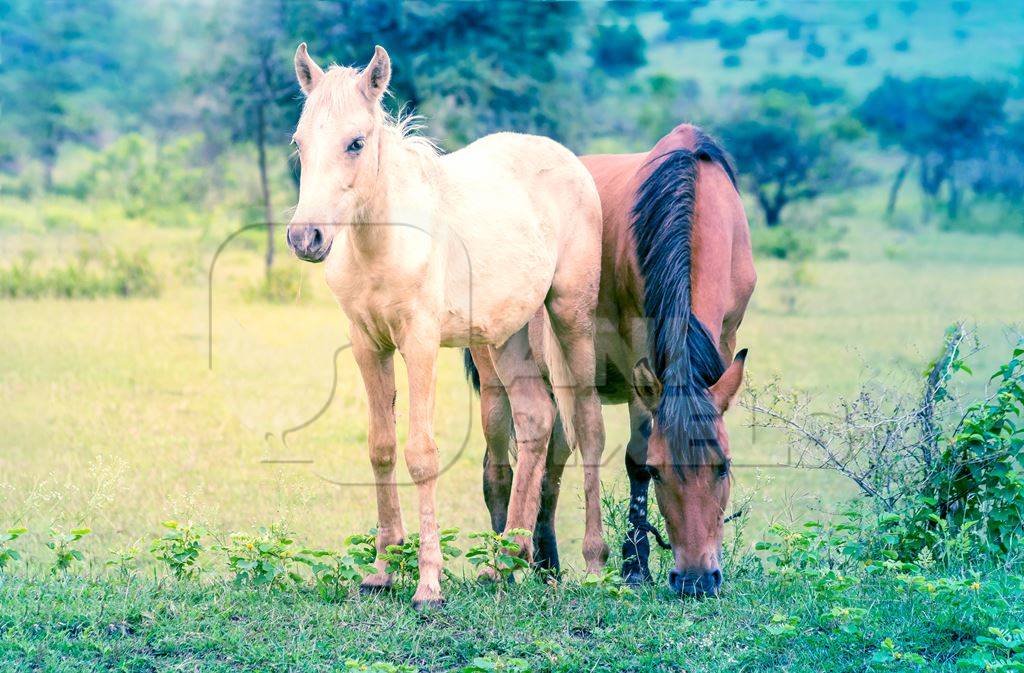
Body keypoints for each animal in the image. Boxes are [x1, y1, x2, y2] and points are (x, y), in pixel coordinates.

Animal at [286, 44, 606, 606]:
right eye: (300, 142)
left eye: (356, 142)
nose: (307, 237)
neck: (383, 244)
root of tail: (570, 162)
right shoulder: (367, 344)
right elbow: (382, 448)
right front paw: (381, 570)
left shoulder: (420, 342)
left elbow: (422, 454)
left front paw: (428, 584)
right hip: (507, 337)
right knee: (536, 420)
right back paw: (505, 560)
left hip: (570, 317)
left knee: (586, 426)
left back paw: (593, 563)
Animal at [468, 123, 757, 594]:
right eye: (659, 472)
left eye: (724, 465)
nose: (696, 579)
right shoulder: (640, 348)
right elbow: (633, 458)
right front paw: (635, 567)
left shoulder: (726, 338)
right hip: (495, 382)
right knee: (498, 467)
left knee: (550, 468)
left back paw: (547, 568)